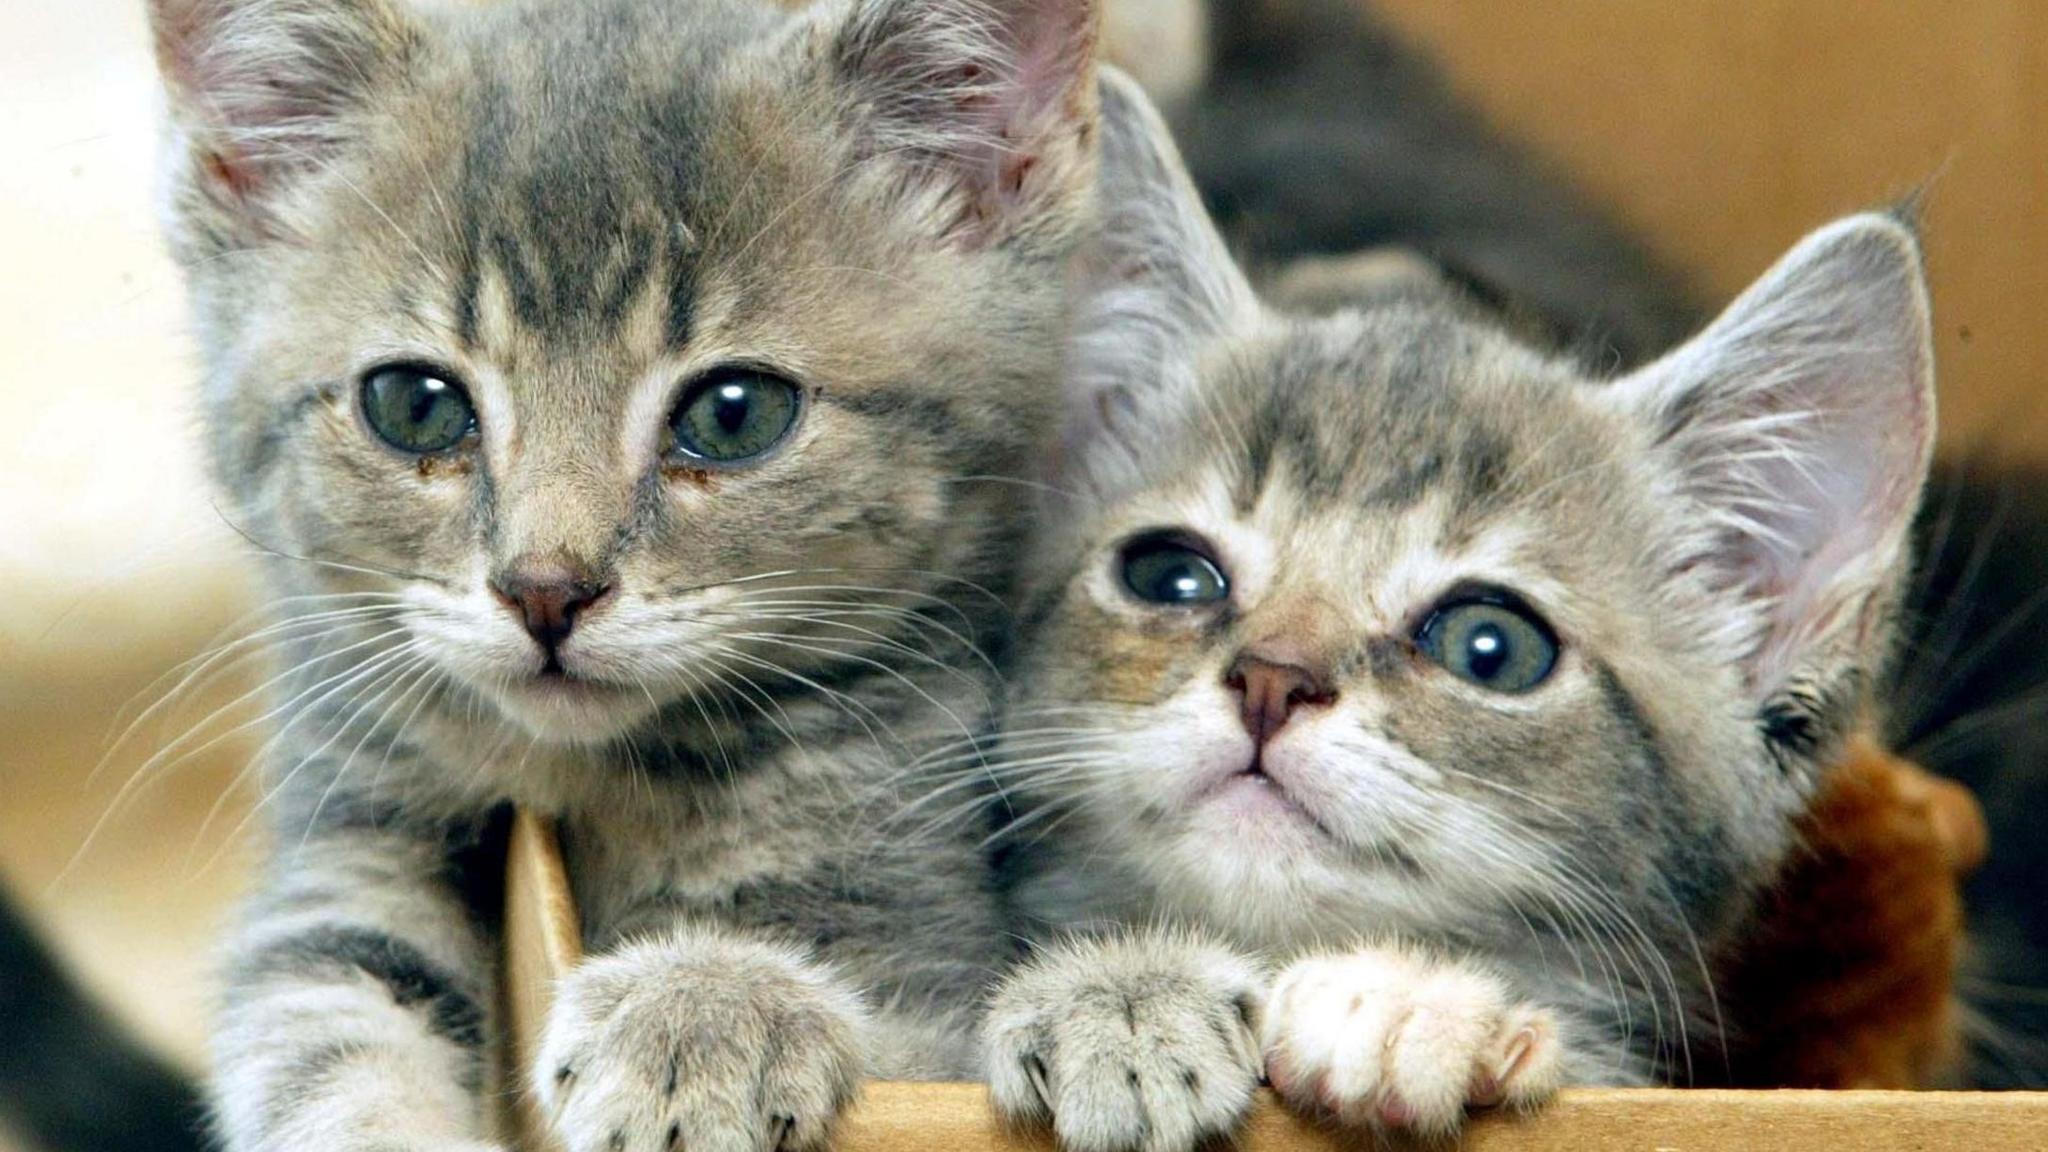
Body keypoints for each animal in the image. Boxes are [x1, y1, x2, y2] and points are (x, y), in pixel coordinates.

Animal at [144, 2, 1105, 1147]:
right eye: (414, 405)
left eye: (735, 414)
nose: (545, 589)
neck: (600, 779)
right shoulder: (348, 849)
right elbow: (321, 1038)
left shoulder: (912, 942)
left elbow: (903, 1053)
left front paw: (702, 1009)